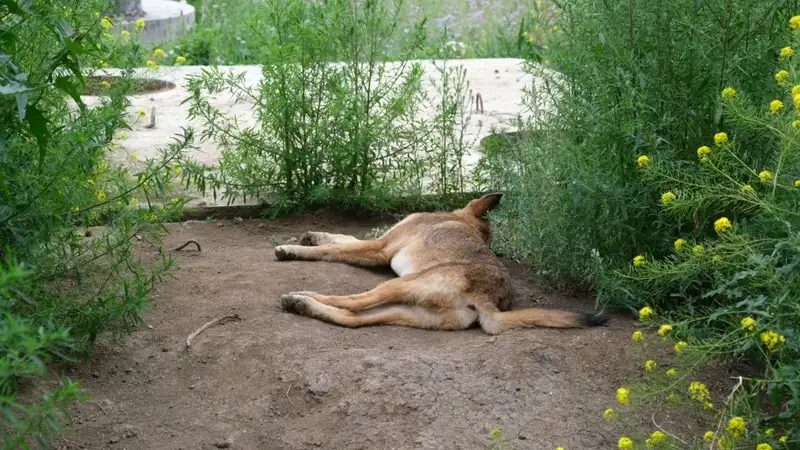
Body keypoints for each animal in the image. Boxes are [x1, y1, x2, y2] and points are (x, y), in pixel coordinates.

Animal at [274, 193, 608, 334]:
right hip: (406, 310)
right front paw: (313, 235)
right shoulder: (381, 243)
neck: (461, 220)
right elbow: (342, 237)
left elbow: (338, 248)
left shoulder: (381, 249)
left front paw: (291, 249)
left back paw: (300, 296)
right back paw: (299, 305)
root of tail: (486, 301)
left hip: (398, 285)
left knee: (353, 302)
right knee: (352, 319)